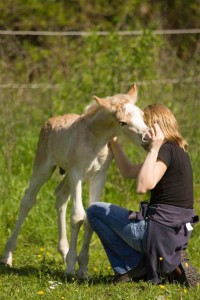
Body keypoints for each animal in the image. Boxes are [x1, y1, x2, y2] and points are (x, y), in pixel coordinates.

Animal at [1, 84, 148, 276]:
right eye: (123, 122)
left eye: (142, 115)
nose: (148, 138)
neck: (95, 140)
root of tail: (50, 121)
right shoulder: (77, 172)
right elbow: (78, 216)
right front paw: (72, 268)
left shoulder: (98, 174)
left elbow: (89, 216)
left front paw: (83, 268)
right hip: (43, 167)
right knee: (28, 200)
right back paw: (7, 256)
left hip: (67, 174)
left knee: (60, 195)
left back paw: (63, 252)